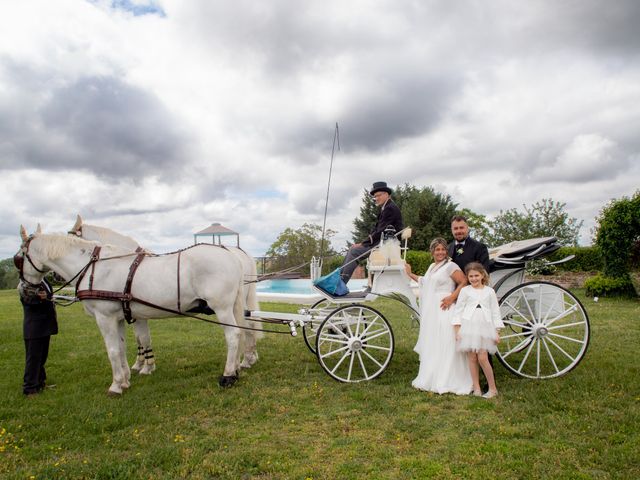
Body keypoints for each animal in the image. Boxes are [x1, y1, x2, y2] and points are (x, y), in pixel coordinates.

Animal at [17, 227, 248, 396]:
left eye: (18, 258)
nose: (24, 290)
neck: (92, 268)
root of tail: (232, 255)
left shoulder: (104, 318)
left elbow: (111, 351)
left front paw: (116, 385)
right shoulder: (117, 318)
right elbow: (121, 349)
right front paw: (126, 379)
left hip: (221, 308)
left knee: (233, 335)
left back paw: (228, 375)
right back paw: (236, 369)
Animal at [68, 214, 262, 372]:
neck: (127, 266)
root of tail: (237, 254)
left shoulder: (135, 314)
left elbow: (142, 338)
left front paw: (144, 365)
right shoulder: (135, 313)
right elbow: (141, 338)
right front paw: (141, 364)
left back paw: (242, 363)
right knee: (248, 324)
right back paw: (248, 359)